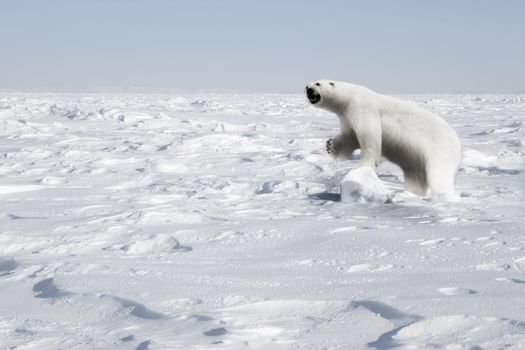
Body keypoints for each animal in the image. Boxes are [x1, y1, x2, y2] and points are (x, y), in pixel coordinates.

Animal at [304, 80, 460, 200]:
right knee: (415, 176)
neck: (348, 98)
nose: (308, 88)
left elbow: (369, 138)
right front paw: (330, 145)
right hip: (416, 158)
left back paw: (443, 195)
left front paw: (361, 166)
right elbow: (349, 137)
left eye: (317, 83)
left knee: (439, 174)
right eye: (308, 85)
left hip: (439, 148)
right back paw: (412, 193)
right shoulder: (348, 119)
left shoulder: (363, 110)